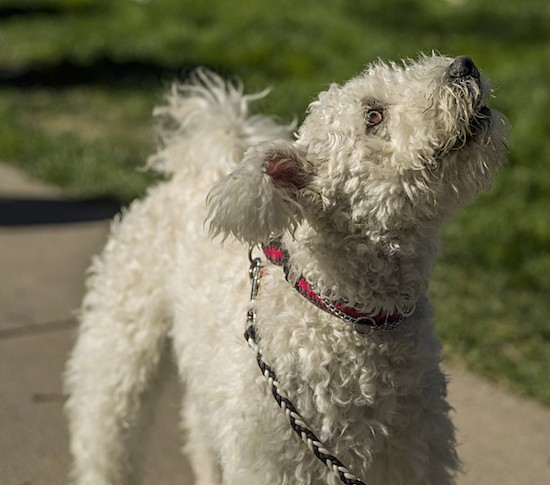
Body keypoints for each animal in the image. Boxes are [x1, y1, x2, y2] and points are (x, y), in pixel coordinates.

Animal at [67, 54, 512, 482]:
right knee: (104, 433)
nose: (465, 64)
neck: (343, 315)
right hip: (120, 339)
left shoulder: (410, 458)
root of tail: (193, 175)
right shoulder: (274, 458)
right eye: (373, 116)